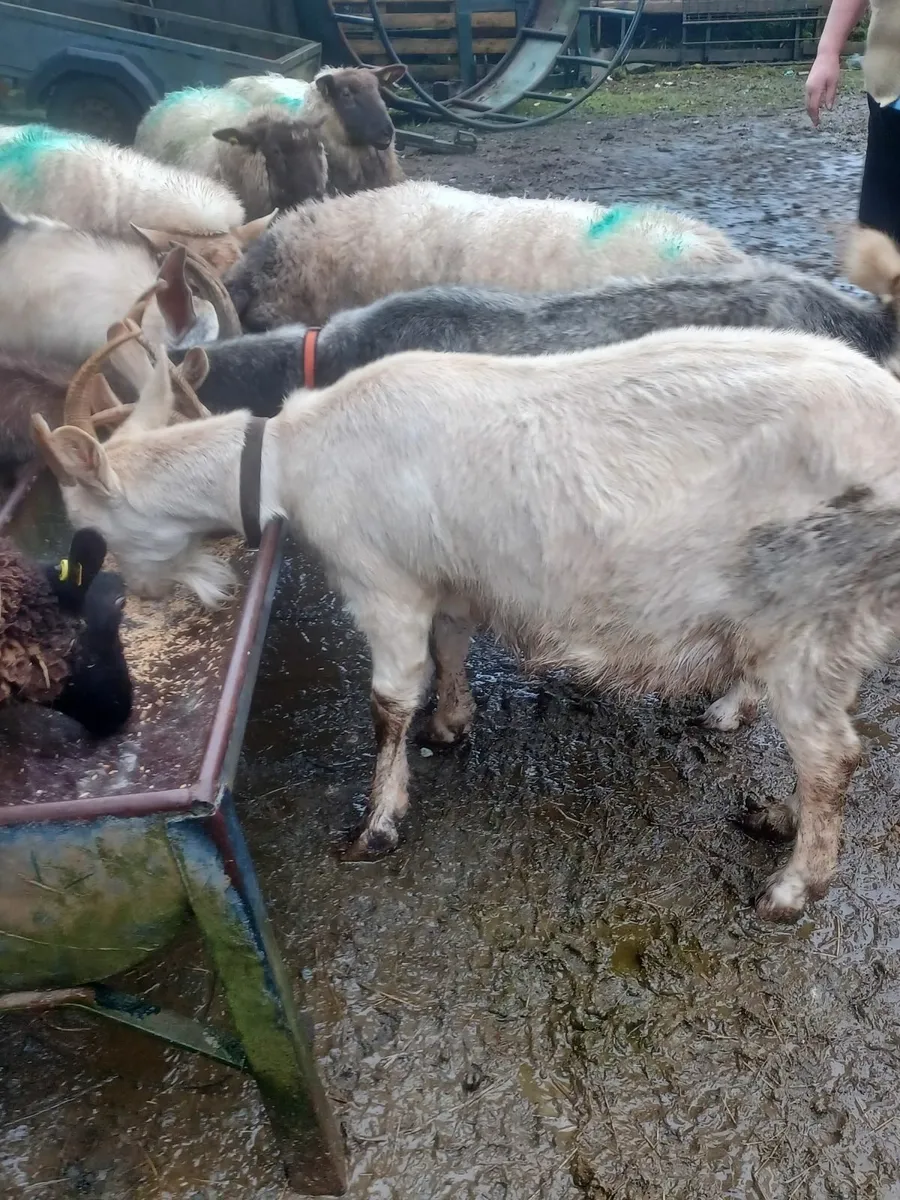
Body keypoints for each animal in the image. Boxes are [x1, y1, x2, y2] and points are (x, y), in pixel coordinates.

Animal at [33, 324, 900, 924]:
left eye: (87, 534)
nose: (140, 603)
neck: (296, 454)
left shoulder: (380, 582)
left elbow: (387, 700)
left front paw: (377, 825)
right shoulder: (440, 579)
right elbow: (449, 649)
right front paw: (451, 725)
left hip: (816, 600)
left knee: (830, 752)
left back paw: (793, 885)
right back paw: (762, 782)